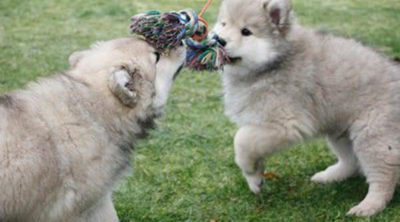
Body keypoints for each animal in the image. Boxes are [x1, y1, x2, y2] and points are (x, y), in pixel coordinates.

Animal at [214, 0, 400, 217]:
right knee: (351, 161)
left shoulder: (284, 125)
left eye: (246, 31)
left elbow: (241, 140)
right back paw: (330, 176)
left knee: (384, 175)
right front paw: (255, 179)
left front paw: (251, 172)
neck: (274, 63)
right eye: (224, 24)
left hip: (373, 136)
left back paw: (369, 206)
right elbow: (250, 147)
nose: (219, 40)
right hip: (339, 129)